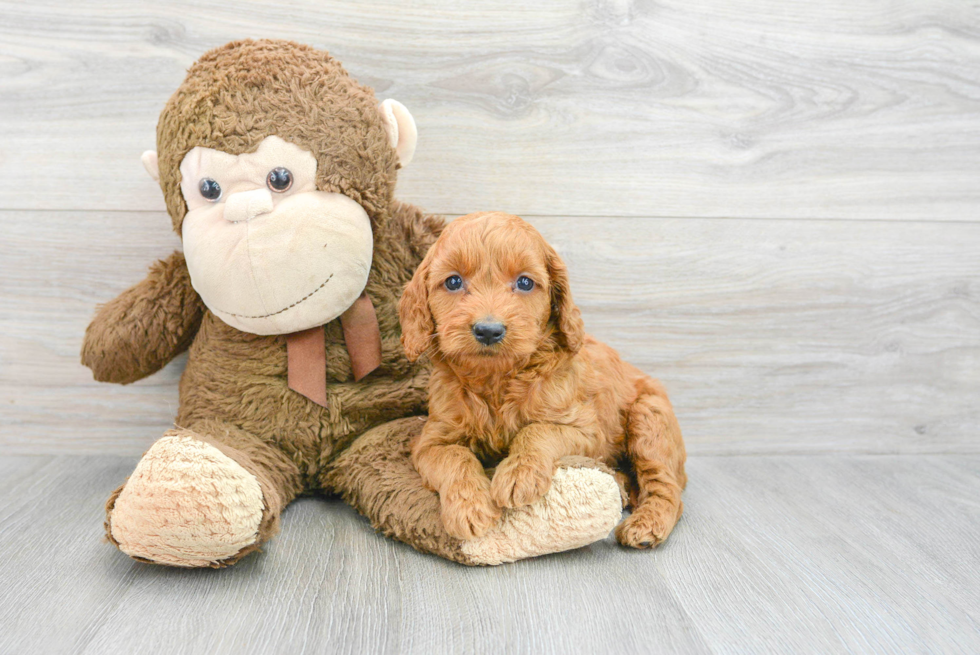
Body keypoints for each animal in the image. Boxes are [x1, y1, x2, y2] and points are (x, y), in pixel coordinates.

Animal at [398, 211, 688, 548]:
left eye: (524, 282)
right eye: (454, 281)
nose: (488, 330)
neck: (497, 379)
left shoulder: (585, 429)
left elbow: (536, 430)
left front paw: (518, 475)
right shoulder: (432, 440)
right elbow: (455, 457)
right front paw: (470, 507)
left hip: (650, 419)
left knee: (666, 487)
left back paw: (647, 523)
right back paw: (619, 484)